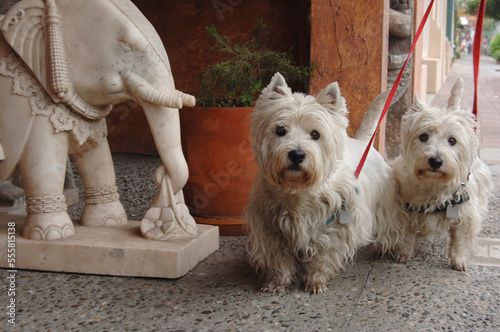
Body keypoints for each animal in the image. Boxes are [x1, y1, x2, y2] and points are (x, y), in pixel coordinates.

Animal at [244, 73, 396, 294]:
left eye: (315, 134)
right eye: (280, 130)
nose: (297, 154)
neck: (297, 191)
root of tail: (362, 141)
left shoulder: (334, 224)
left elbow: (323, 256)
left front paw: (316, 281)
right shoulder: (269, 226)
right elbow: (278, 259)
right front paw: (277, 282)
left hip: (383, 204)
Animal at [390, 78, 492, 272]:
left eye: (452, 140)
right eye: (423, 136)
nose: (435, 161)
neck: (433, 184)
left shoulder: (465, 213)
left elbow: (460, 239)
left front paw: (459, 260)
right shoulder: (404, 206)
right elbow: (405, 234)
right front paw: (403, 253)